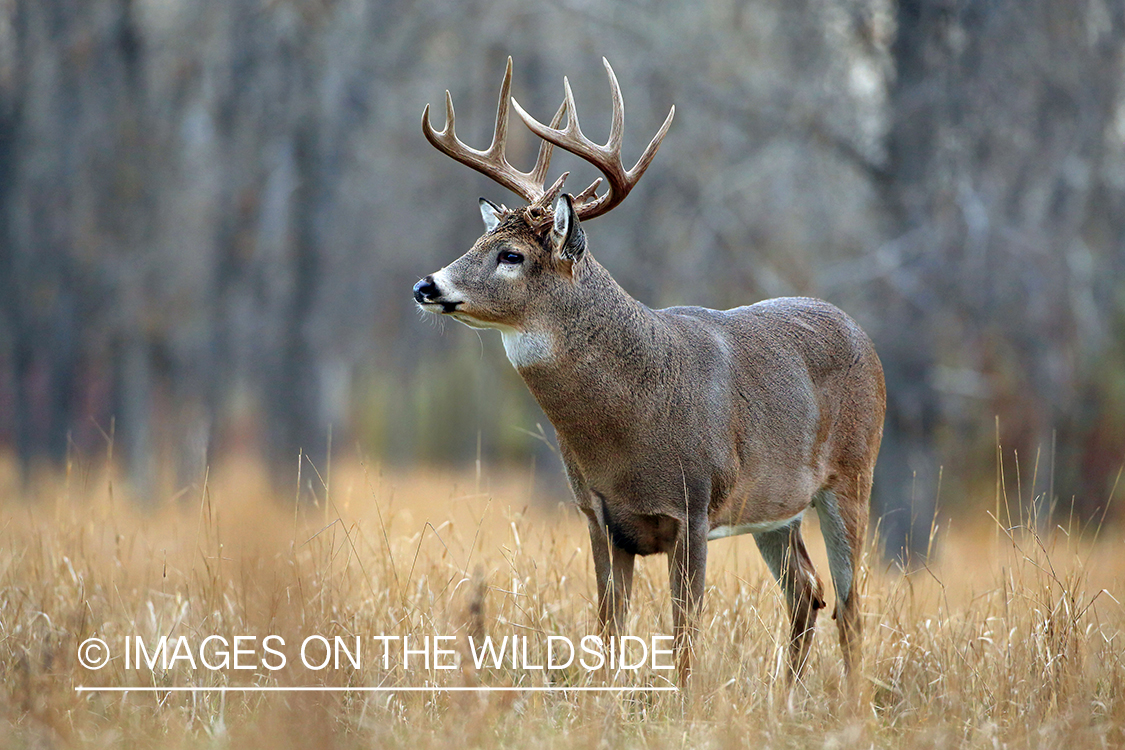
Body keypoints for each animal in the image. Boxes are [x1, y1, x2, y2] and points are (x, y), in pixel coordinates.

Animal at [416, 60, 886, 688]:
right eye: (478, 240)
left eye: (512, 255)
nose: (426, 285)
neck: (632, 420)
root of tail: (863, 336)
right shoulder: (598, 516)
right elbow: (608, 632)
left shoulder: (693, 507)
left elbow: (685, 637)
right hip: (776, 509)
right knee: (807, 592)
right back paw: (784, 696)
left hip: (853, 477)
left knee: (852, 605)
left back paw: (849, 702)